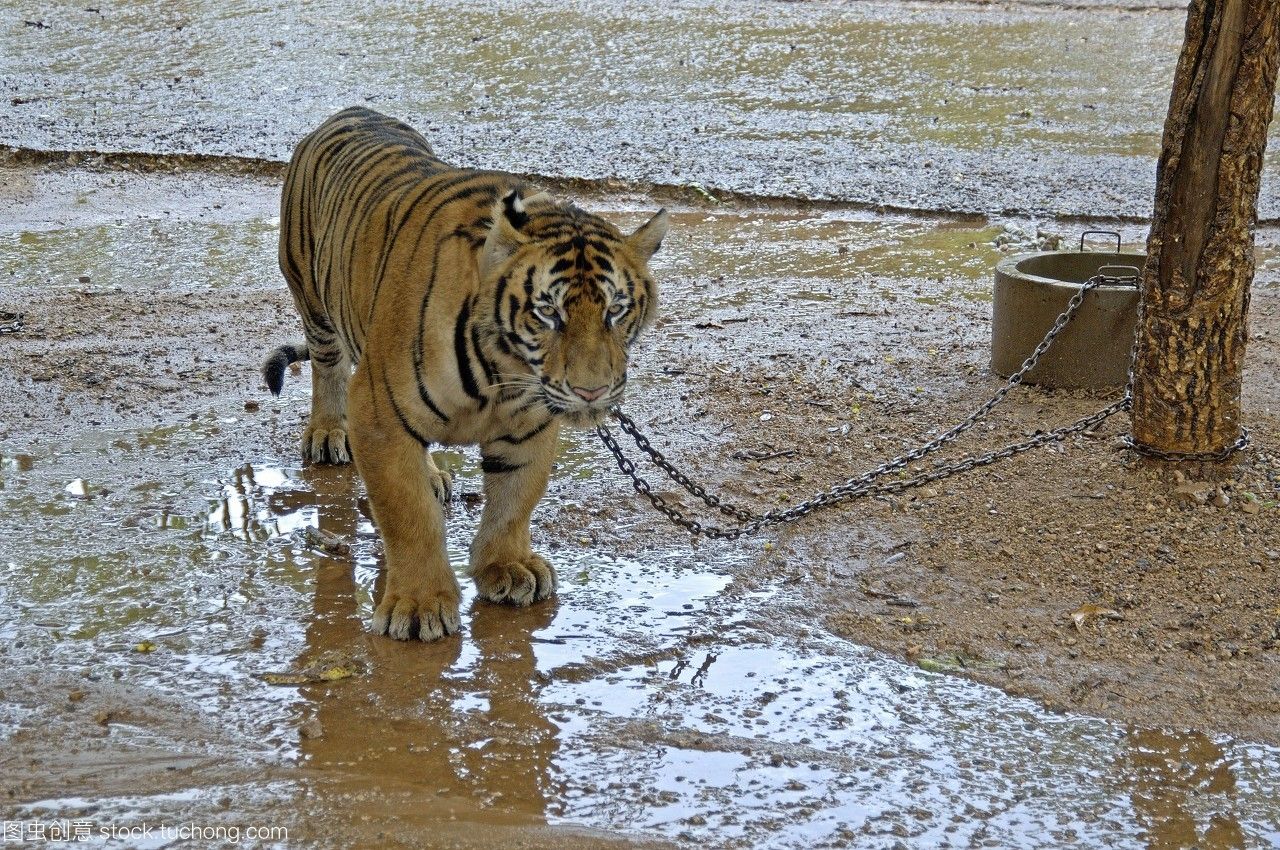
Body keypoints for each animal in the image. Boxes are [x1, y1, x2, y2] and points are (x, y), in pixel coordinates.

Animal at [256, 106, 665, 640]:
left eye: (615, 310)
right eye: (548, 313)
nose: (591, 392)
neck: (504, 373)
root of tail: (351, 111)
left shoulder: (530, 423)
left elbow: (515, 499)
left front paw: (508, 566)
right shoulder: (379, 410)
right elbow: (409, 515)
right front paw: (418, 605)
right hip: (313, 301)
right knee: (328, 370)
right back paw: (327, 433)